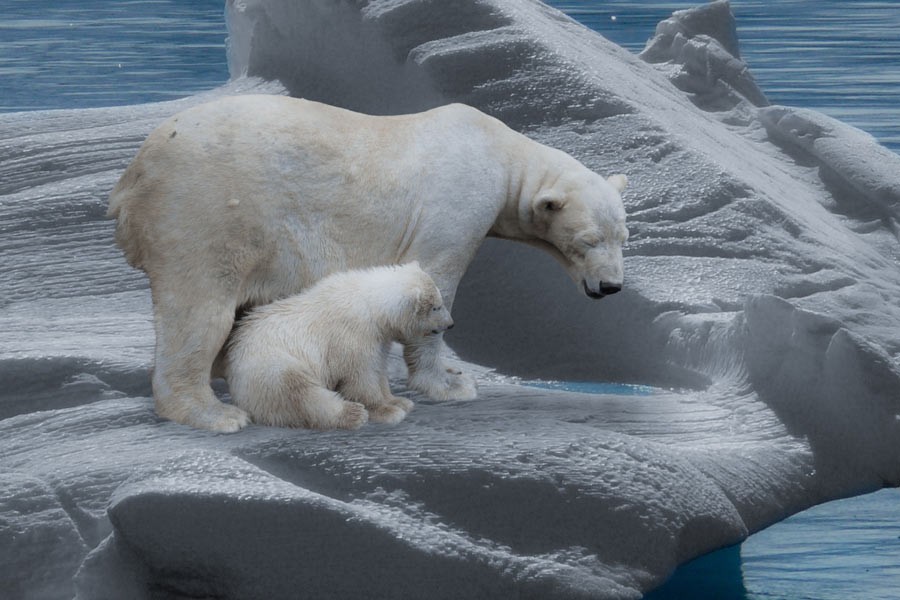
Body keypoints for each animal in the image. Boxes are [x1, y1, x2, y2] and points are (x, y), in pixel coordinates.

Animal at [223, 262, 450, 426]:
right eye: (436, 307)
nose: (451, 324)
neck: (370, 305)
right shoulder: (352, 336)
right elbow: (361, 377)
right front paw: (388, 411)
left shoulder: (378, 337)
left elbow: (378, 369)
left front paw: (399, 401)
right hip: (271, 365)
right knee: (300, 393)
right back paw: (353, 413)